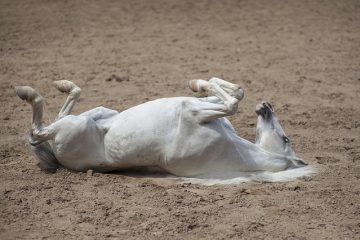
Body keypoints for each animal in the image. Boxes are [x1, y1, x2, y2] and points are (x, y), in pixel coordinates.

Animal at [14, 78, 312, 183]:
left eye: (286, 138)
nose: (266, 106)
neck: (235, 149)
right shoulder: (200, 108)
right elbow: (234, 94)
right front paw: (198, 83)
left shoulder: (192, 113)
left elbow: (232, 103)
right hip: (97, 113)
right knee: (59, 112)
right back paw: (63, 84)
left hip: (74, 127)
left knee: (37, 131)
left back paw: (26, 91)